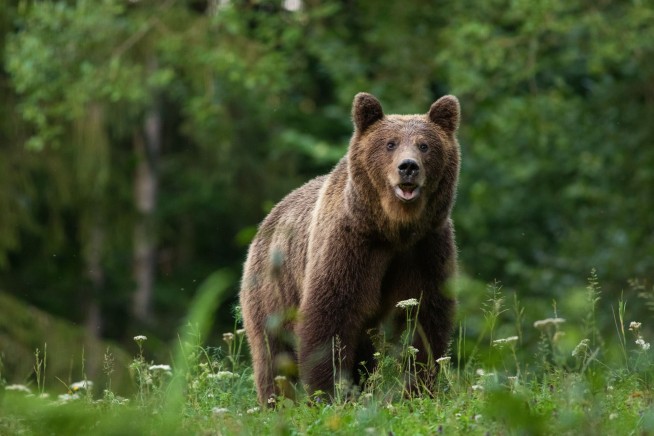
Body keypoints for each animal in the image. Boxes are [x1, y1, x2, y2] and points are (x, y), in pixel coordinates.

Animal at [240, 92, 461, 405]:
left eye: (424, 145)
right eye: (390, 143)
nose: (408, 167)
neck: (393, 229)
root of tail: (267, 220)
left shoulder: (426, 248)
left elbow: (426, 319)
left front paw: (418, 390)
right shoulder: (351, 245)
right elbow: (330, 316)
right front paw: (329, 393)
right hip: (272, 290)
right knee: (273, 353)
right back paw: (277, 402)